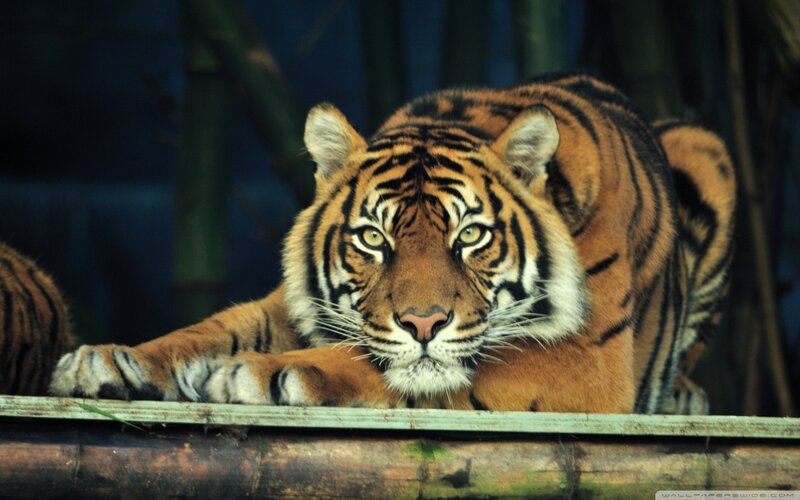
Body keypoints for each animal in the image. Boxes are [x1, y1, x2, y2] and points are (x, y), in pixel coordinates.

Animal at [49, 73, 735, 414]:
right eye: (373, 238)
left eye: (471, 235)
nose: (423, 322)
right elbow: (214, 328)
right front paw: (109, 361)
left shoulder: (586, 361)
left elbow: (388, 364)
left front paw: (267, 372)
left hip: (708, 150)